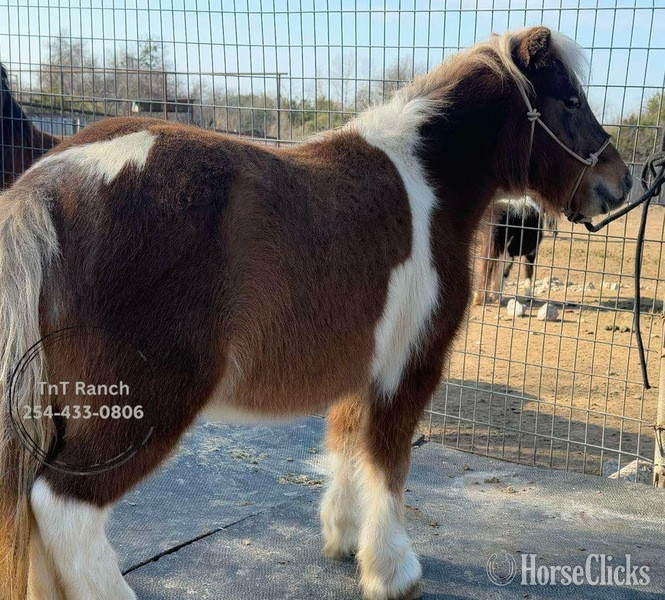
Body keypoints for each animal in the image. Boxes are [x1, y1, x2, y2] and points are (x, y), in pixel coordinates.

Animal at [0, 27, 631, 600]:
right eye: (570, 101)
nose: (619, 180)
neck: (427, 184)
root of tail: (46, 185)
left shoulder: (363, 367)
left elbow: (348, 443)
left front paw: (345, 538)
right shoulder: (410, 367)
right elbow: (389, 464)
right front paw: (392, 571)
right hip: (140, 406)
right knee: (62, 507)